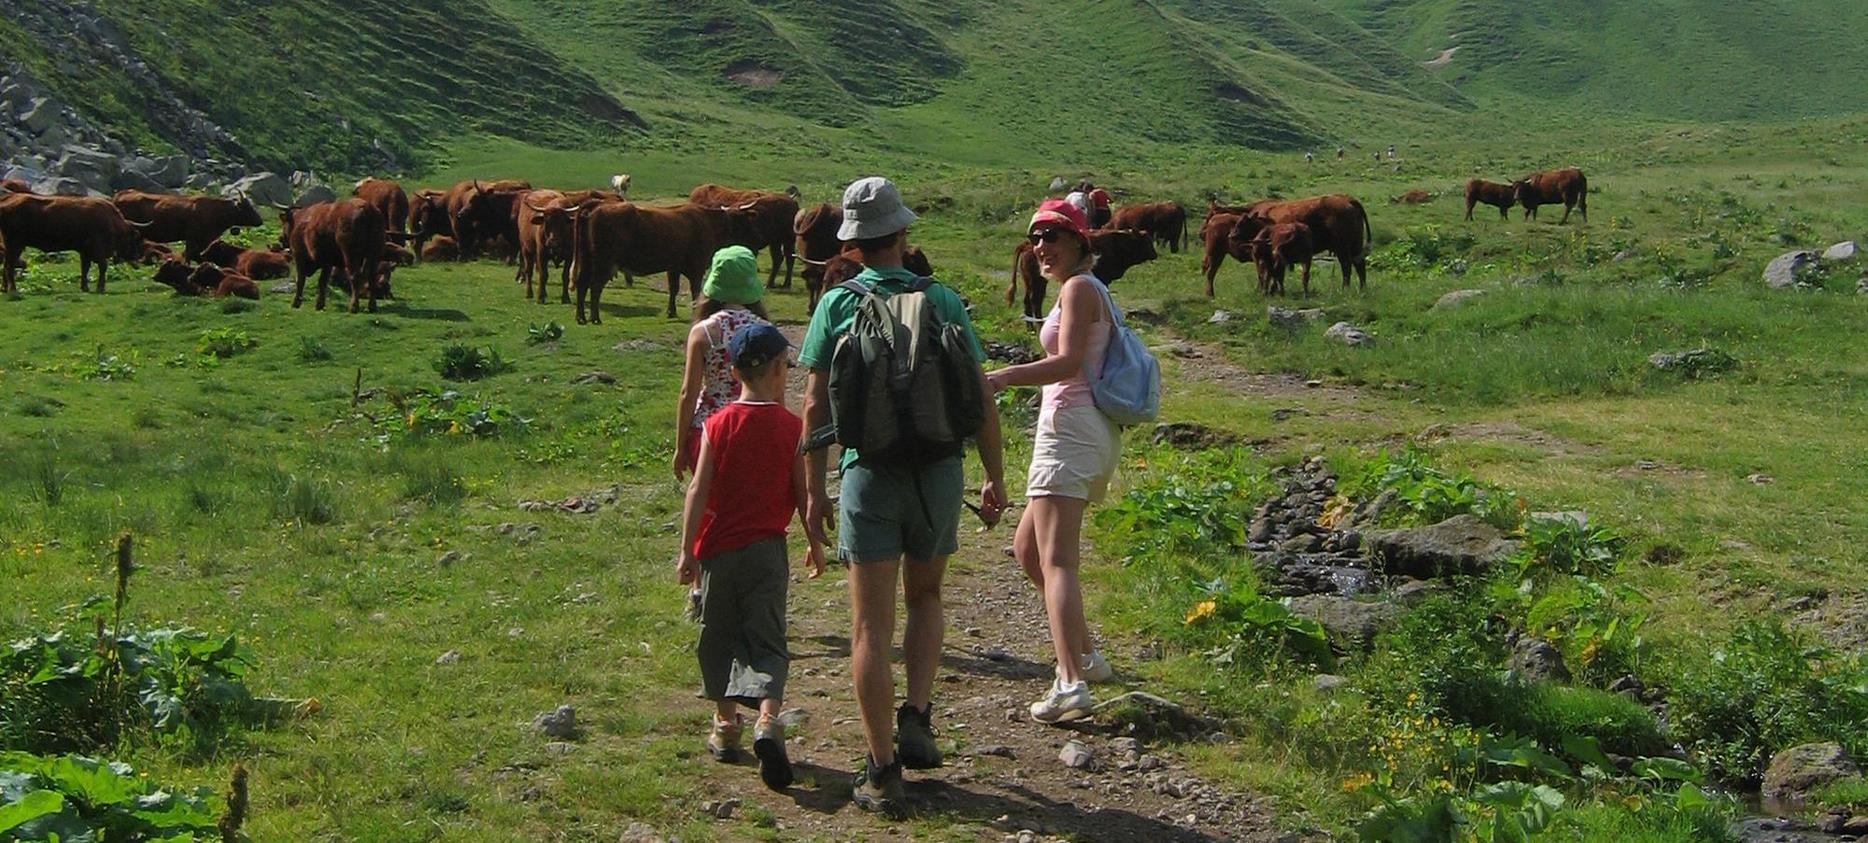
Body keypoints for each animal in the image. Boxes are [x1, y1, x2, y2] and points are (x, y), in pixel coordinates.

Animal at [564, 202, 754, 325]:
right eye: (744, 222)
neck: (708, 222)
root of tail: (595, 208)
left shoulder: (673, 267)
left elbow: (673, 288)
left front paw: (671, 312)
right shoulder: (697, 268)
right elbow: (695, 291)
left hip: (587, 261)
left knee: (582, 284)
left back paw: (580, 317)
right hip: (604, 262)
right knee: (595, 286)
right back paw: (595, 318)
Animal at [1008, 228, 1150, 323]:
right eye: (1144, 242)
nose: (1153, 253)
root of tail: (1027, 245)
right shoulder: (1103, 278)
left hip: (1029, 281)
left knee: (1028, 300)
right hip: (1037, 281)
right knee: (1035, 300)